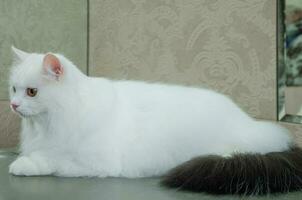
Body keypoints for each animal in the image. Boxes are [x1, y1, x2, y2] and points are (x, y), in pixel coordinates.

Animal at [8, 46, 300, 194]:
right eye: (13, 89)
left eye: (31, 92)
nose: (13, 105)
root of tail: (253, 123)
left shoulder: (92, 161)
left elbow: (50, 159)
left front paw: (22, 165)